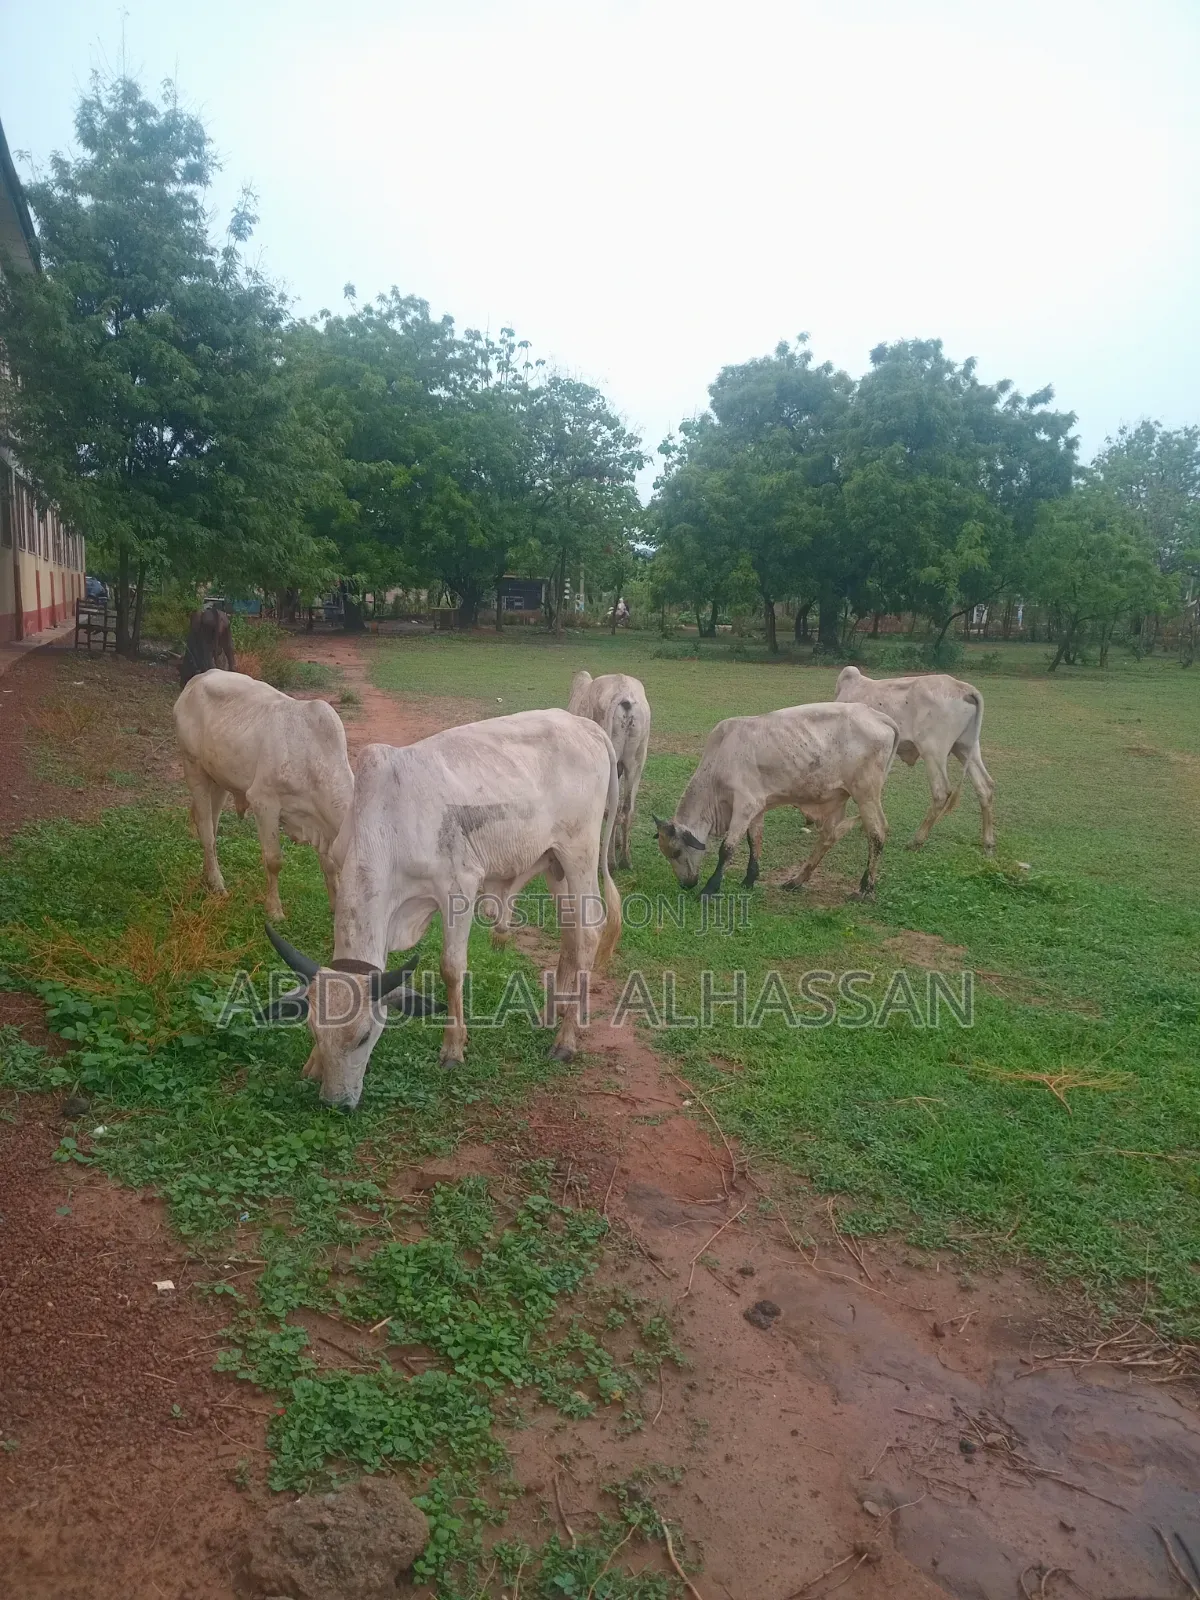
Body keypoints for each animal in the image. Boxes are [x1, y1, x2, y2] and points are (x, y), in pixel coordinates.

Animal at [173, 670, 354, 920]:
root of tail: (198, 678)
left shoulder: (322, 826)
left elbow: (329, 865)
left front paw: (336, 906)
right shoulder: (263, 802)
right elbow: (273, 860)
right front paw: (274, 910)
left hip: (218, 780)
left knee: (211, 826)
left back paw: (207, 876)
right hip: (194, 769)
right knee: (207, 831)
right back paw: (218, 884)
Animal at [261, 708, 623, 1110]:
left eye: (365, 1035)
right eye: (313, 1030)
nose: (334, 1103)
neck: (386, 825)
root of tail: (584, 724)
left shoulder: (459, 889)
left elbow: (451, 968)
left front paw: (453, 1048)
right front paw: (312, 1064)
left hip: (580, 854)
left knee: (589, 932)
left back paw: (566, 1039)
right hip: (553, 864)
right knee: (570, 933)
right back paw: (552, 1013)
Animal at [567, 669, 651, 870]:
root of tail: (624, 693)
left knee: (611, 808)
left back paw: (610, 861)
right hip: (636, 762)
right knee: (626, 808)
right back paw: (625, 859)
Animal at [654, 702, 900, 901]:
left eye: (676, 852)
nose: (685, 885)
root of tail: (878, 716)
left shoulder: (745, 805)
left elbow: (727, 849)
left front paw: (709, 889)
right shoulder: (757, 807)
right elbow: (754, 840)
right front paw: (749, 879)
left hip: (866, 794)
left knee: (877, 832)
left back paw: (866, 889)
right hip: (840, 797)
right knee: (829, 836)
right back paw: (796, 881)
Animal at [834, 666, 996, 853]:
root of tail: (964, 689)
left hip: (933, 751)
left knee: (941, 792)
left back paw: (916, 841)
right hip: (965, 747)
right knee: (984, 786)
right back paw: (988, 843)